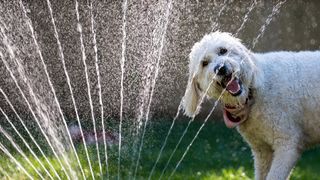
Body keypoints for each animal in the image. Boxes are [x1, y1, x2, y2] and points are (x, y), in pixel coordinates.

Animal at [182, 31, 320, 179]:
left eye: (223, 50)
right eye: (204, 63)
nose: (221, 68)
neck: (252, 94)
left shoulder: (287, 145)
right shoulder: (262, 150)